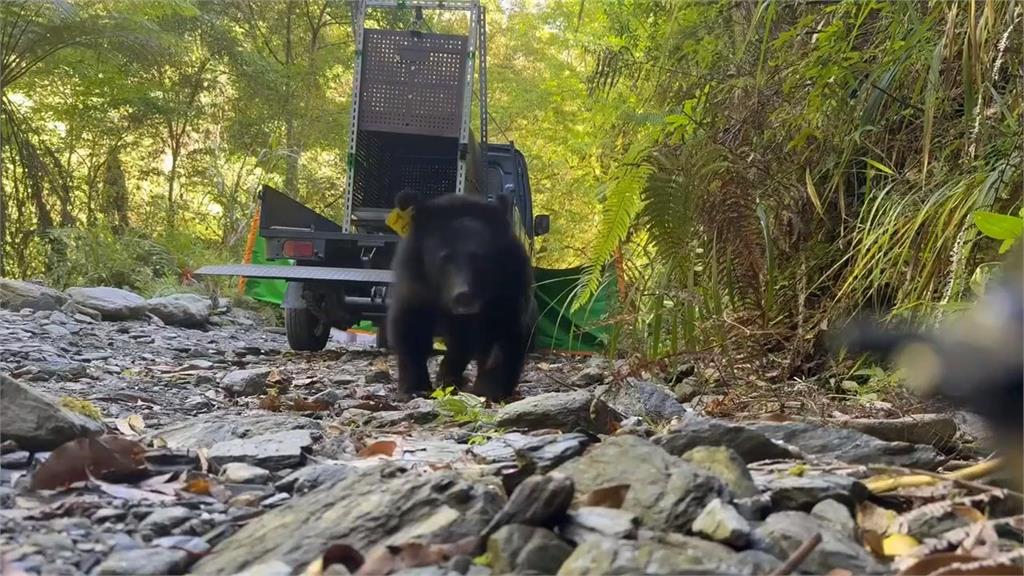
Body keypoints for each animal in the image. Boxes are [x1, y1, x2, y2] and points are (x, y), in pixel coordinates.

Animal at [387, 190, 535, 401]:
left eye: (480, 258)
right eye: (444, 258)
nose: (463, 297)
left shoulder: (508, 289)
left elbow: (505, 331)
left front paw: (488, 389)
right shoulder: (416, 285)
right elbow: (410, 327)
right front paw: (415, 388)